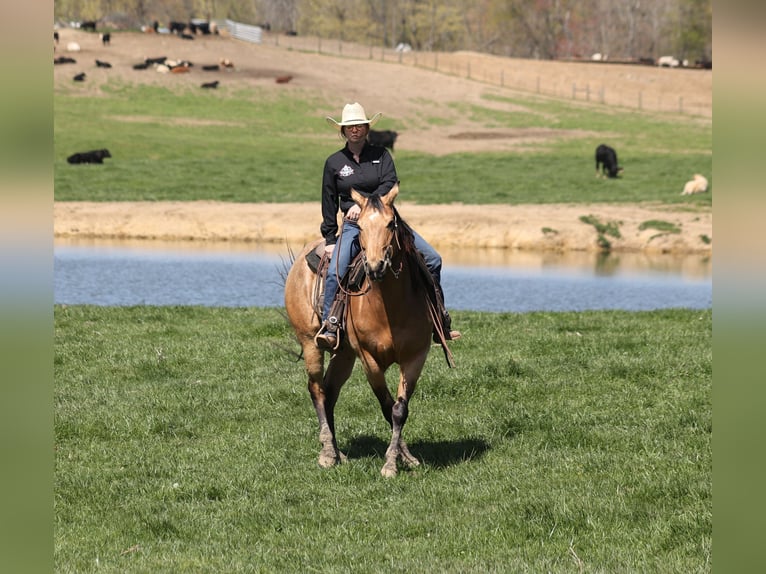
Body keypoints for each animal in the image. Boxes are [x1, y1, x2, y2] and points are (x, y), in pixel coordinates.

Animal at [284, 184, 441, 477]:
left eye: (390, 223)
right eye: (360, 227)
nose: (375, 265)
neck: (391, 307)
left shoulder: (416, 356)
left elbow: (399, 410)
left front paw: (403, 458)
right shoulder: (369, 359)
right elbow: (387, 405)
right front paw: (392, 463)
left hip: (344, 353)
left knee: (330, 391)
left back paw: (339, 453)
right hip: (311, 342)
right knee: (317, 389)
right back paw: (327, 453)